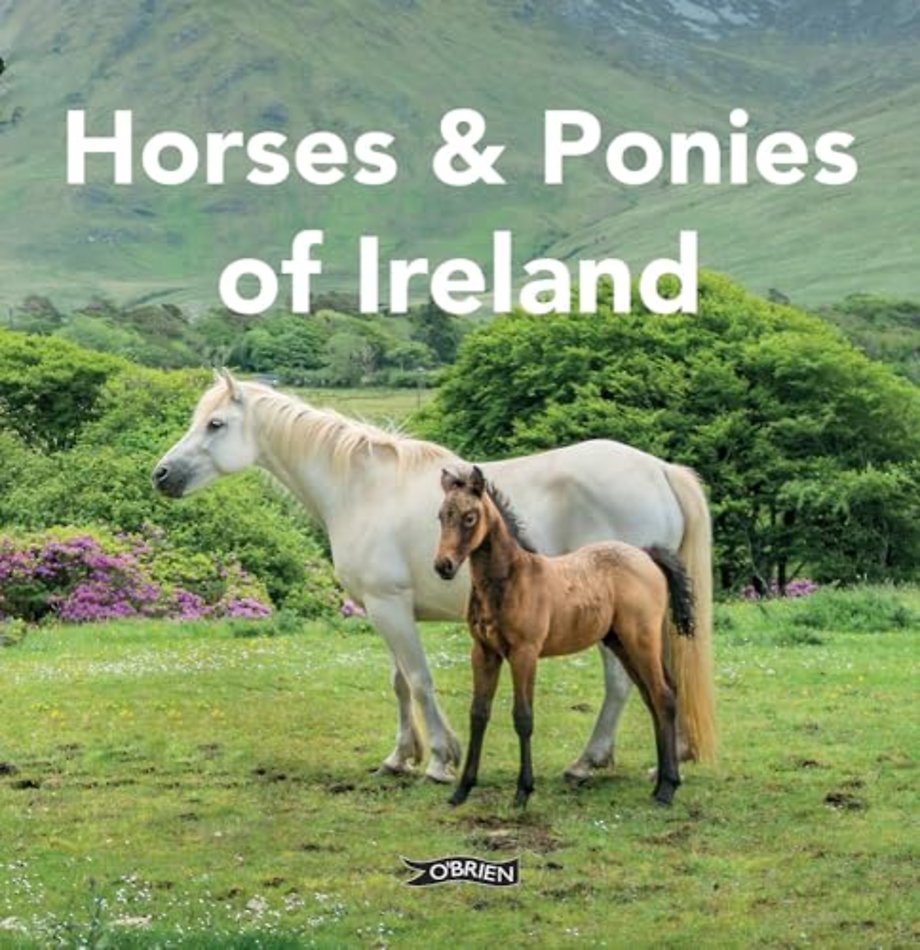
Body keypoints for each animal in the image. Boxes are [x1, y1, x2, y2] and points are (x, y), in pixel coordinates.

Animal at [435, 464, 696, 807]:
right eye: (441, 515)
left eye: (469, 517)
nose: (443, 566)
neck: (510, 579)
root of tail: (645, 555)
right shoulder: (483, 652)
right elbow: (478, 714)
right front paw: (462, 790)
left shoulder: (524, 653)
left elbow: (523, 717)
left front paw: (523, 791)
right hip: (622, 644)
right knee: (653, 696)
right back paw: (662, 784)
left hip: (642, 639)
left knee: (664, 696)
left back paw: (667, 789)